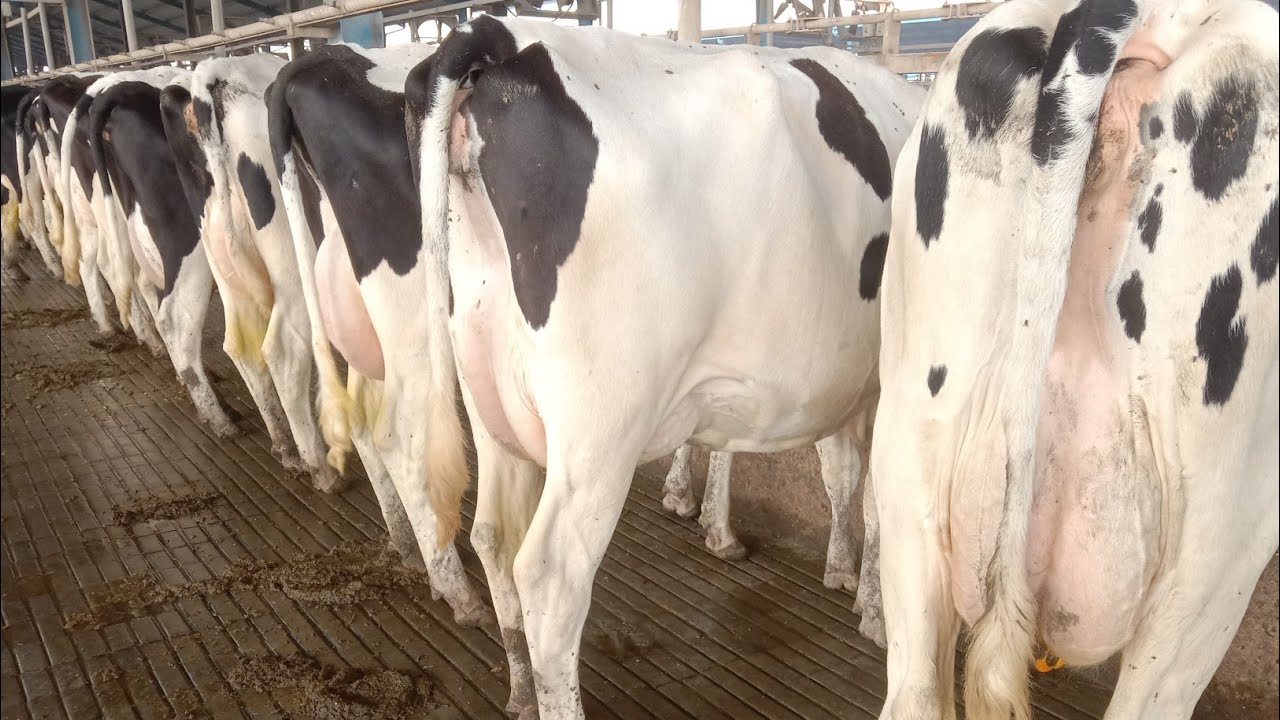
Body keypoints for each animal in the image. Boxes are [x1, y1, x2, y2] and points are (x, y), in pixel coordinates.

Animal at [266, 42, 490, 625]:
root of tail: (308, 62)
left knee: (360, 414)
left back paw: (407, 544)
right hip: (411, 320)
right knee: (402, 434)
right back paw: (457, 590)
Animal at [406, 16, 922, 717]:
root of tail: (495, 35)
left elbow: (833, 470)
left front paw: (833, 569)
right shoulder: (892, 378)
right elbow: (872, 496)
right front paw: (871, 607)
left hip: (490, 396)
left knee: (491, 535)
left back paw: (518, 691)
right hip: (601, 426)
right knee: (549, 576)